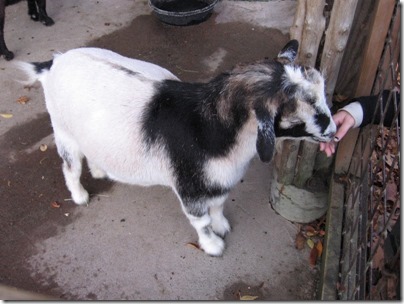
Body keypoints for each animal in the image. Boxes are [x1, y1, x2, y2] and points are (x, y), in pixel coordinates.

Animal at [18, 39, 334, 255]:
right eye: (307, 109)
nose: (333, 133)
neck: (210, 127)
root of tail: (54, 63)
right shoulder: (190, 186)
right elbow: (201, 220)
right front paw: (213, 245)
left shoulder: (218, 180)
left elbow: (218, 206)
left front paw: (222, 227)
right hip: (63, 131)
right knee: (70, 166)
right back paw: (80, 195)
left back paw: (99, 170)